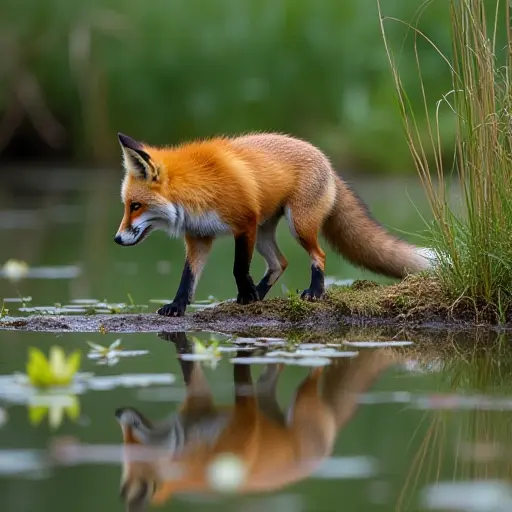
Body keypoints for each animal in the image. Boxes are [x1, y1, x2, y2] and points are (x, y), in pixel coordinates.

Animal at [113, 132, 436, 316]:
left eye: (136, 206)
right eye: (127, 206)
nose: (117, 239)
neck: (197, 189)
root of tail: (327, 160)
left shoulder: (244, 224)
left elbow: (238, 268)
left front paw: (246, 295)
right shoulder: (199, 237)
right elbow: (187, 278)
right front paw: (178, 306)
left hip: (298, 226)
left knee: (318, 255)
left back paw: (313, 292)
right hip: (266, 232)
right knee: (280, 262)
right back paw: (261, 294)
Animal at [116, 330, 396, 510]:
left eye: (133, 439)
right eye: (123, 442)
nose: (117, 414)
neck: (190, 448)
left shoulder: (243, 426)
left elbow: (242, 391)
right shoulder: (197, 406)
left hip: (302, 398)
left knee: (315, 369)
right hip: (269, 399)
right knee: (275, 370)